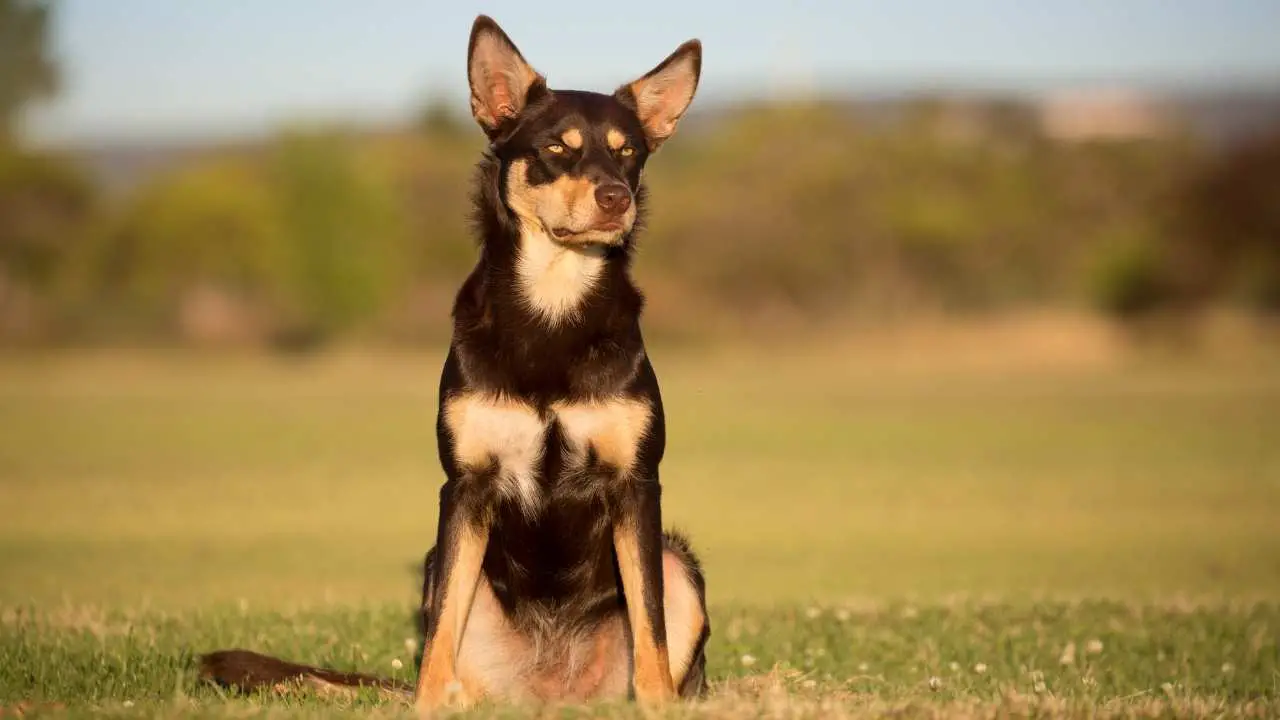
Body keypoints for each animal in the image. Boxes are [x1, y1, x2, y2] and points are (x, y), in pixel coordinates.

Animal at [202, 14, 711, 707]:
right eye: (557, 149)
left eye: (628, 152)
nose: (615, 198)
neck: (552, 307)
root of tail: (550, 698)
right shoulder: (466, 487)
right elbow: (441, 627)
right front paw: (424, 706)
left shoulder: (636, 483)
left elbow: (650, 623)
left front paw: (660, 706)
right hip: (438, 565)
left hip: (678, 561)